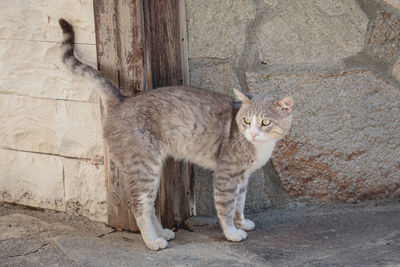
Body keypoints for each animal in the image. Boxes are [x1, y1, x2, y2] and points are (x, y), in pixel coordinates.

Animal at [57, 18, 294, 251]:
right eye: (246, 121)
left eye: (265, 122)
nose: (253, 134)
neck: (259, 146)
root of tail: (122, 100)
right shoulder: (226, 175)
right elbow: (226, 207)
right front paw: (232, 233)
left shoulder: (243, 177)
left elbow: (240, 203)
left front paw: (242, 223)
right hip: (144, 167)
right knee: (139, 205)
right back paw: (152, 241)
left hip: (150, 169)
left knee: (149, 205)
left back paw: (162, 232)